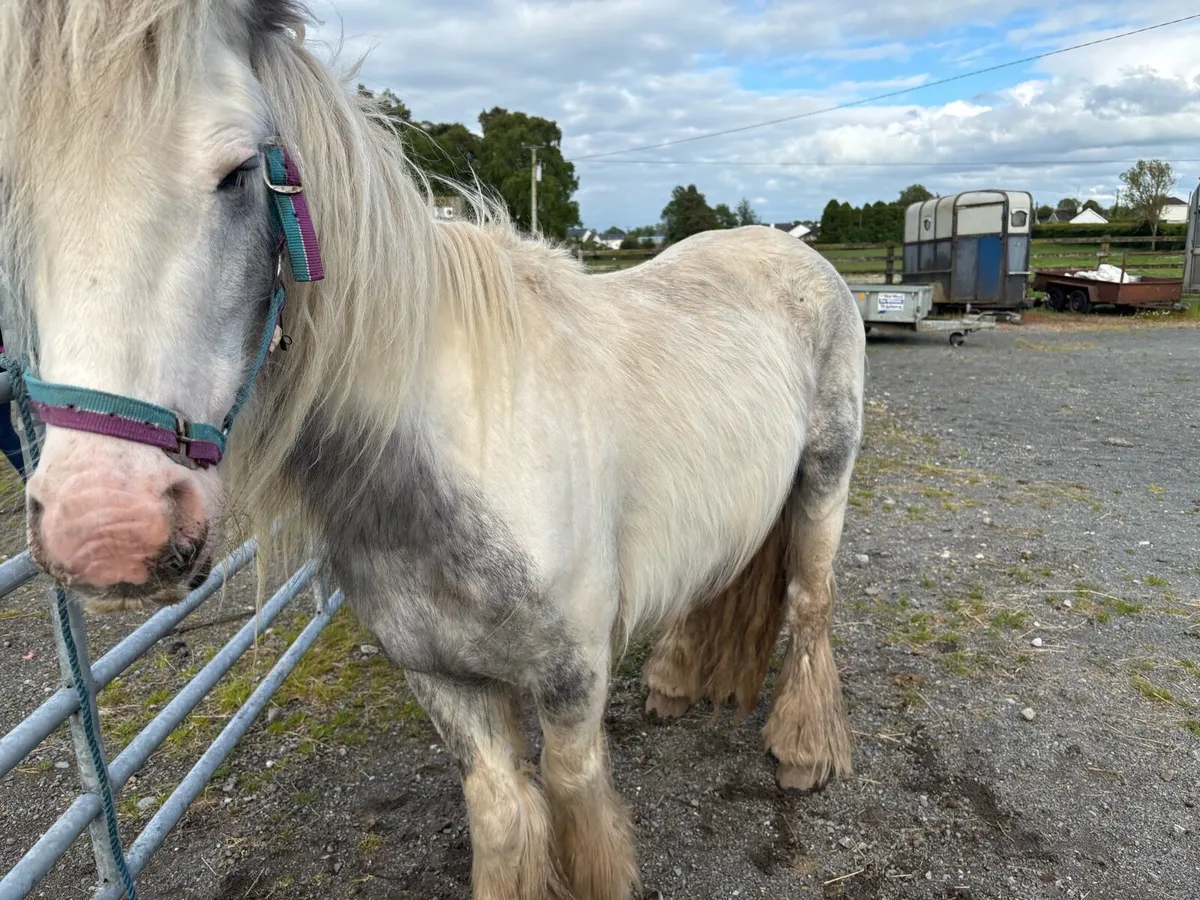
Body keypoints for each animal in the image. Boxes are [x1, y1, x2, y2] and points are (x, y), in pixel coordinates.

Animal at [0, 2, 866, 898]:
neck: (451, 457)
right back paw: (675, 683)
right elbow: (504, 815)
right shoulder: (442, 680)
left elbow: (576, 803)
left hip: (825, 478)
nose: (103, 528)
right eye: (15, 200)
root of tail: (791, 249)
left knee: (809, 599)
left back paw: (803, 751)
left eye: (238, 173)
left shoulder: (573, 682)